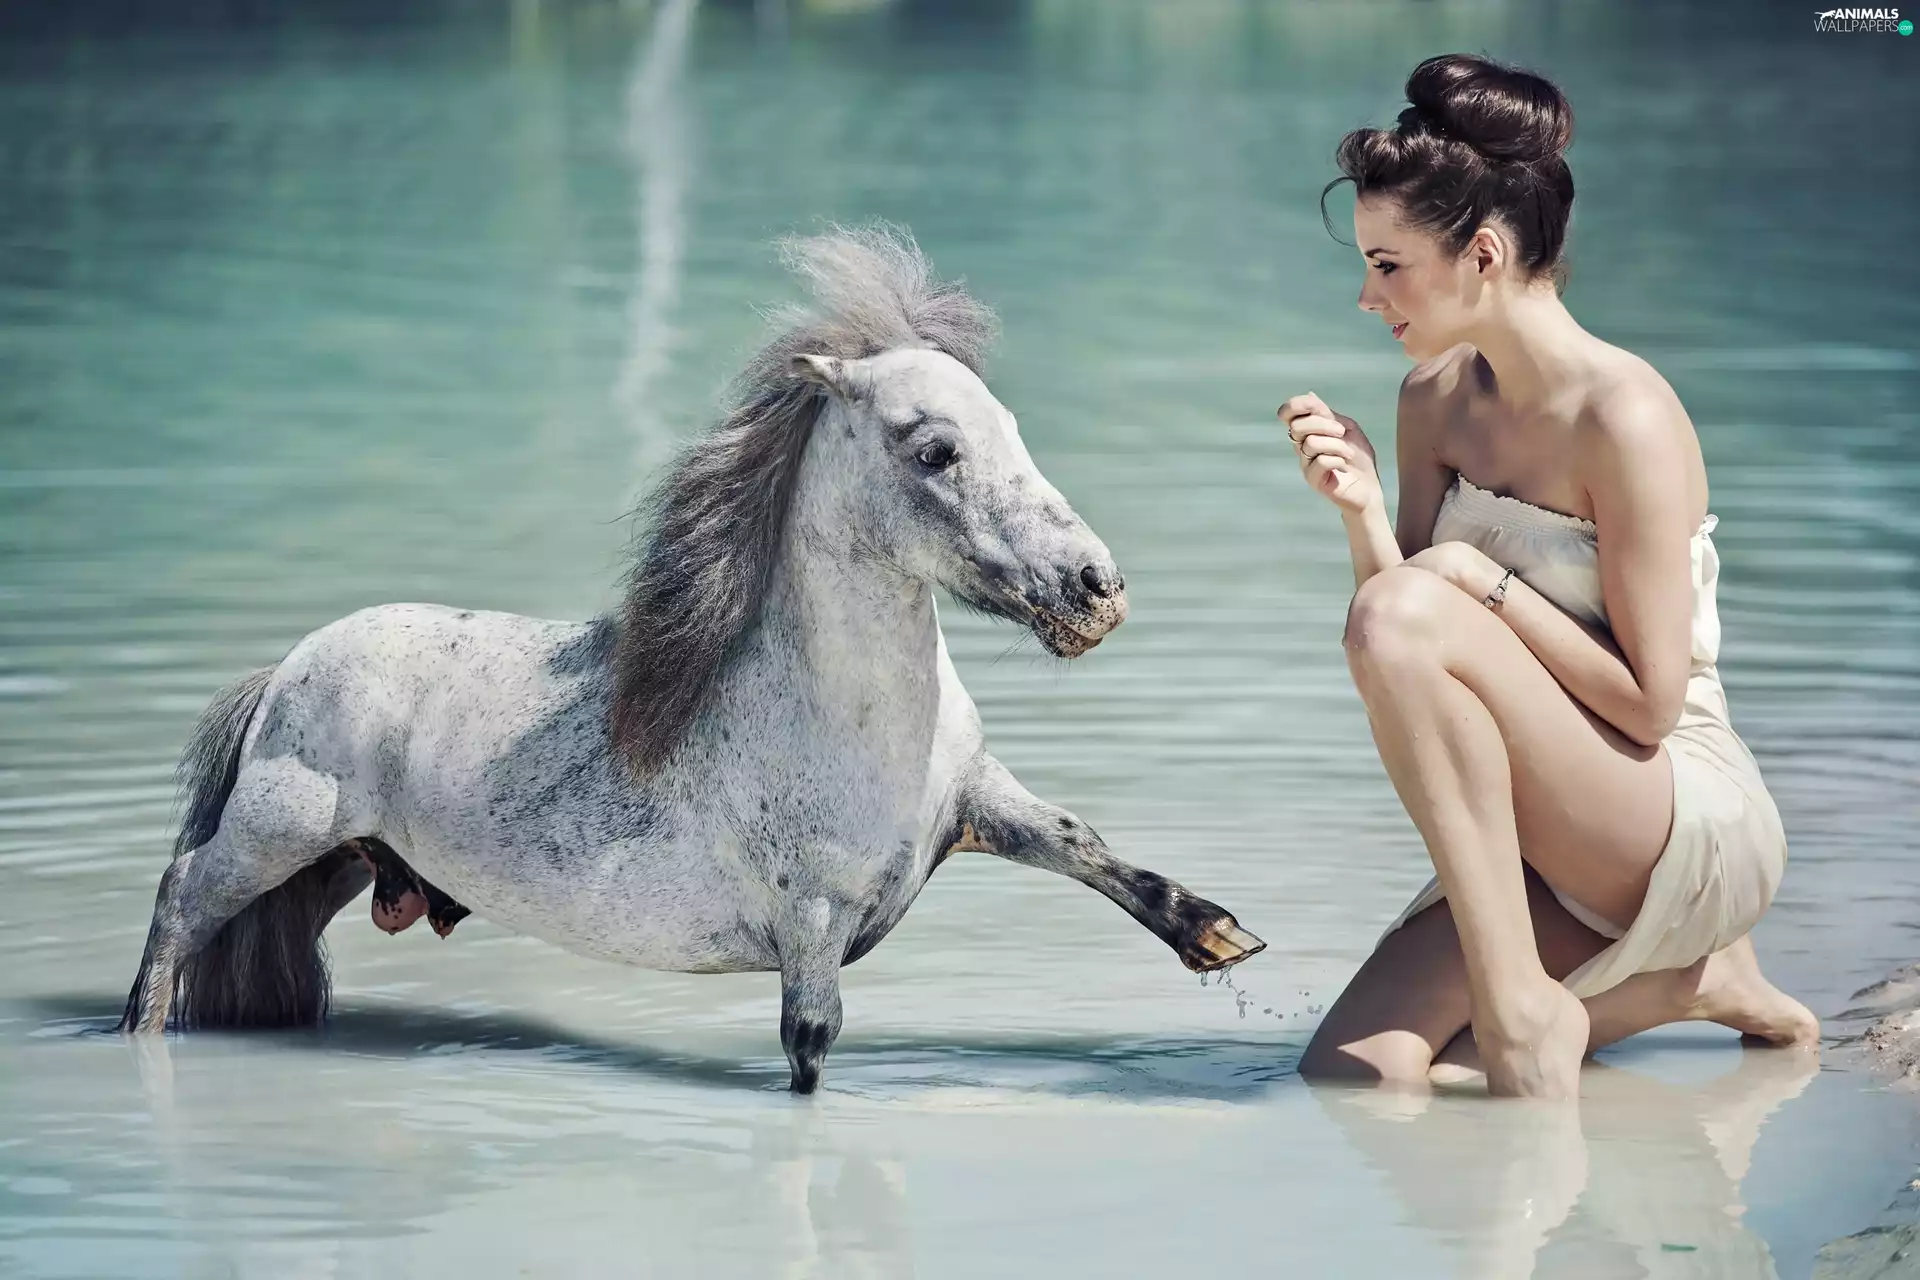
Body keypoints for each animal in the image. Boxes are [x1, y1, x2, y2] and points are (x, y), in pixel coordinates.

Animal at [117, 225, 1266, 1093]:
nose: (1095, 589)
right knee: (179, 897)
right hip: (274, 836)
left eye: (1011, 428)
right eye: (935, 449)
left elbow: (1081, 842)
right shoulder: (813, 934)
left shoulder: (974, 803)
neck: (847, 719)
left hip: (336, 865)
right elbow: (809, 1055)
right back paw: (139, 1026)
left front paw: (1218, 937)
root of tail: (287, 671)